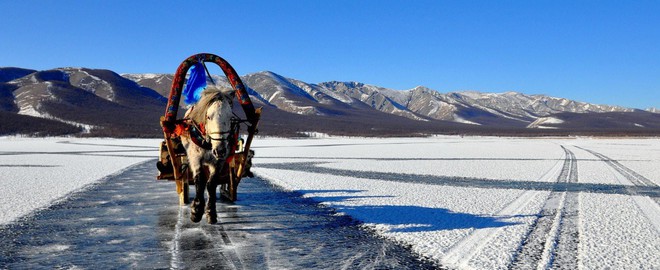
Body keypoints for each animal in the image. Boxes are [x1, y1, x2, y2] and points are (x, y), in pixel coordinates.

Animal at [178, 86, 235, 224]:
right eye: (208, 116)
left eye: (230, 117)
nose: (220, 150)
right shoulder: (195, 158)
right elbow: (200, 180)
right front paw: (196, 211)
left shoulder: (219, 162)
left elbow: (211, 183)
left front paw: (211, 212)